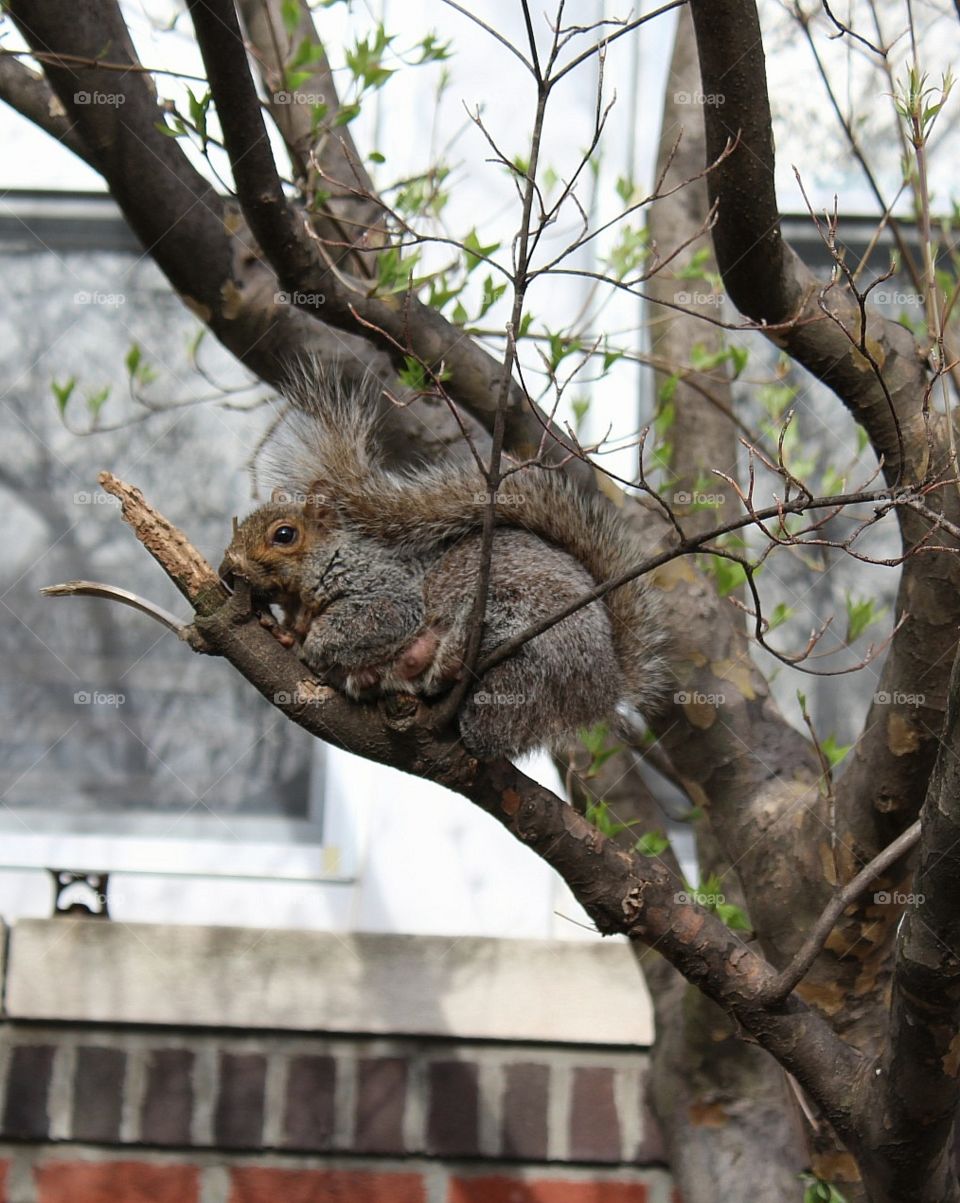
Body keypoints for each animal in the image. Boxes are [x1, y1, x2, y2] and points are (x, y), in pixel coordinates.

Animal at [220, 371, 668, 759]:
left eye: (284, 535)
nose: (226, 569)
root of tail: (608, 686)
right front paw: (285, 635)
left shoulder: (389, 591)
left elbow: (373, 620)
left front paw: (314, 642)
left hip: (527, 635)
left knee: (489, 733)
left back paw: (446, 663)